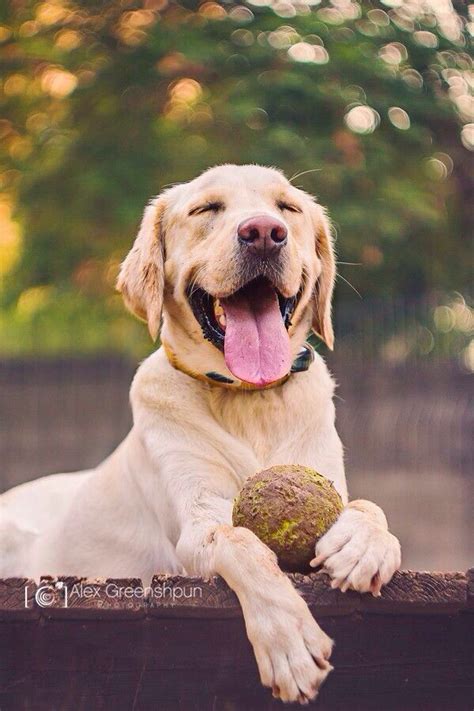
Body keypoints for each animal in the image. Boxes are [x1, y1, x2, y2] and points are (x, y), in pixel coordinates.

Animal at [0, 164, 400, 704]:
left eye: (288, 209)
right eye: (206, 208)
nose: (263, 233)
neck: (250, 399)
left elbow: (367, 506)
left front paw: (363, 544)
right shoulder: (198, 525)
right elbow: (242, 542)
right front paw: (290, 641)